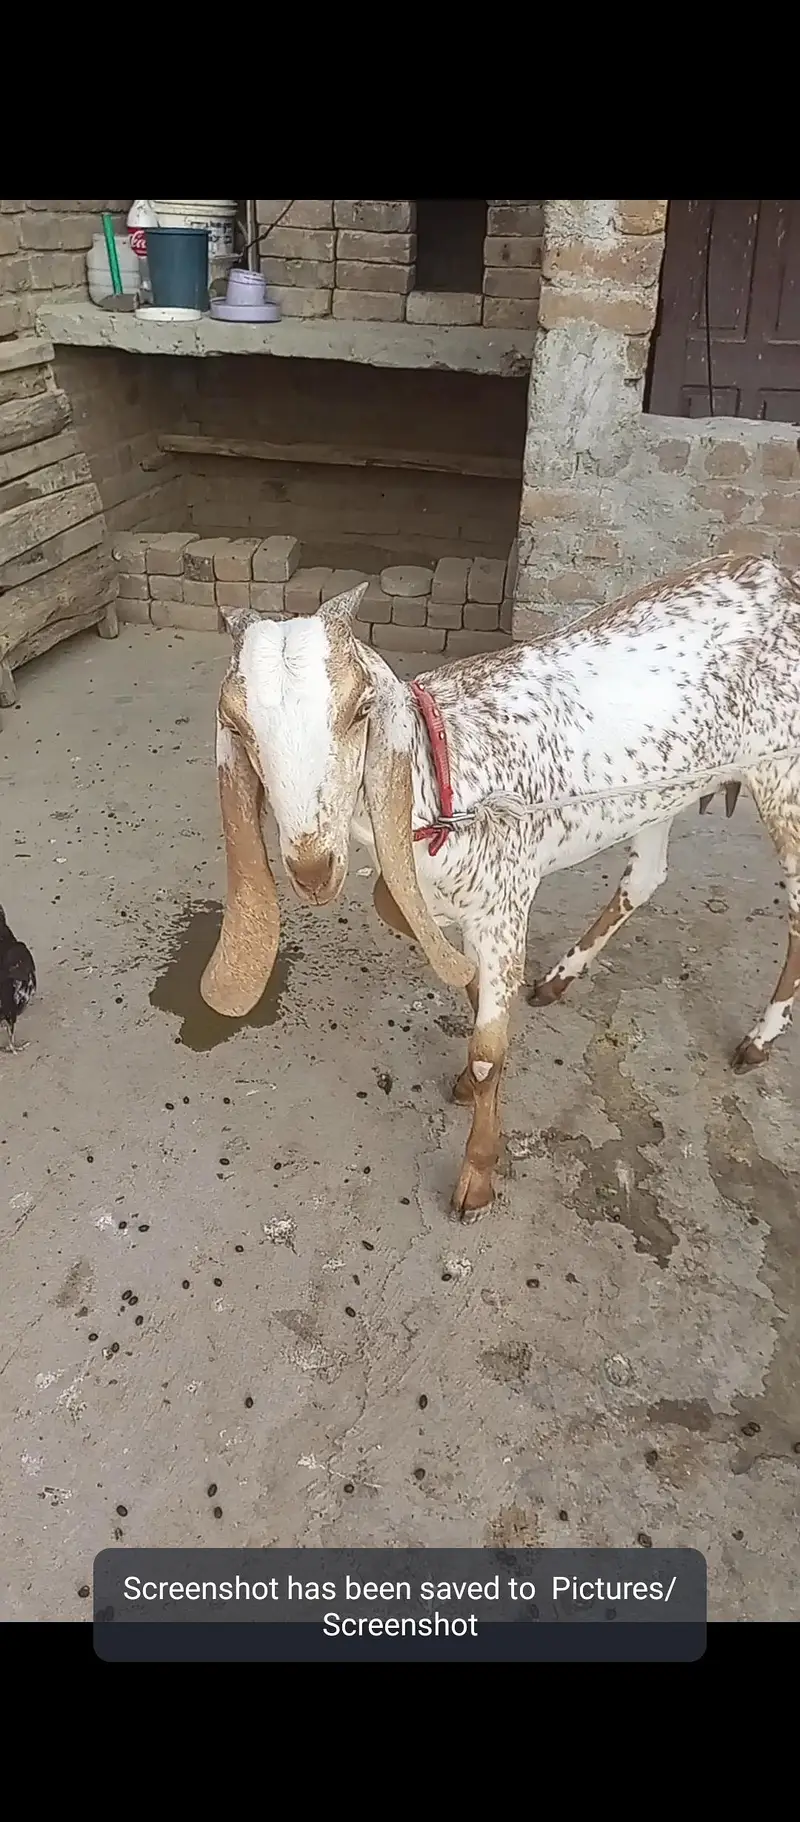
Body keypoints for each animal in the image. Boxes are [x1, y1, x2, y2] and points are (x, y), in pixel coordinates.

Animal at [200, 554, 800, 1219]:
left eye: (359, 709)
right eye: (235, 723)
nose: (311, 868)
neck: (443, 783)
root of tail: (774, 574)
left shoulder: (506, 906)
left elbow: (488, 1052)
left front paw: (477, 1177)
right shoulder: (460, 916)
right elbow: (475, 1003)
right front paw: (470, 1081)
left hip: (782, 774)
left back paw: (759, 1039)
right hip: (660, 794)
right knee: (645, 877)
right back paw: (560, 978)